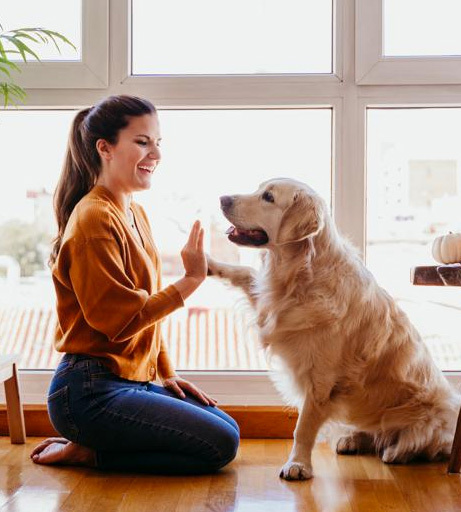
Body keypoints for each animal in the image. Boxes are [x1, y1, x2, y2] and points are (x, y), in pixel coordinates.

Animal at [208, 177, 460, 480]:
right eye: (259, 189)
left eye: (268, 197)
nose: (222, 199)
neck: (301, 274)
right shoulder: (271, 306)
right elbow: (244, 273)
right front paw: (207, 262)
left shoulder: (320, 380)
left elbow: (303, 428)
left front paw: (298, 465)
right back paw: (353, 439)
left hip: (431, 416)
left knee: (423, 442)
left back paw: (396, 452)